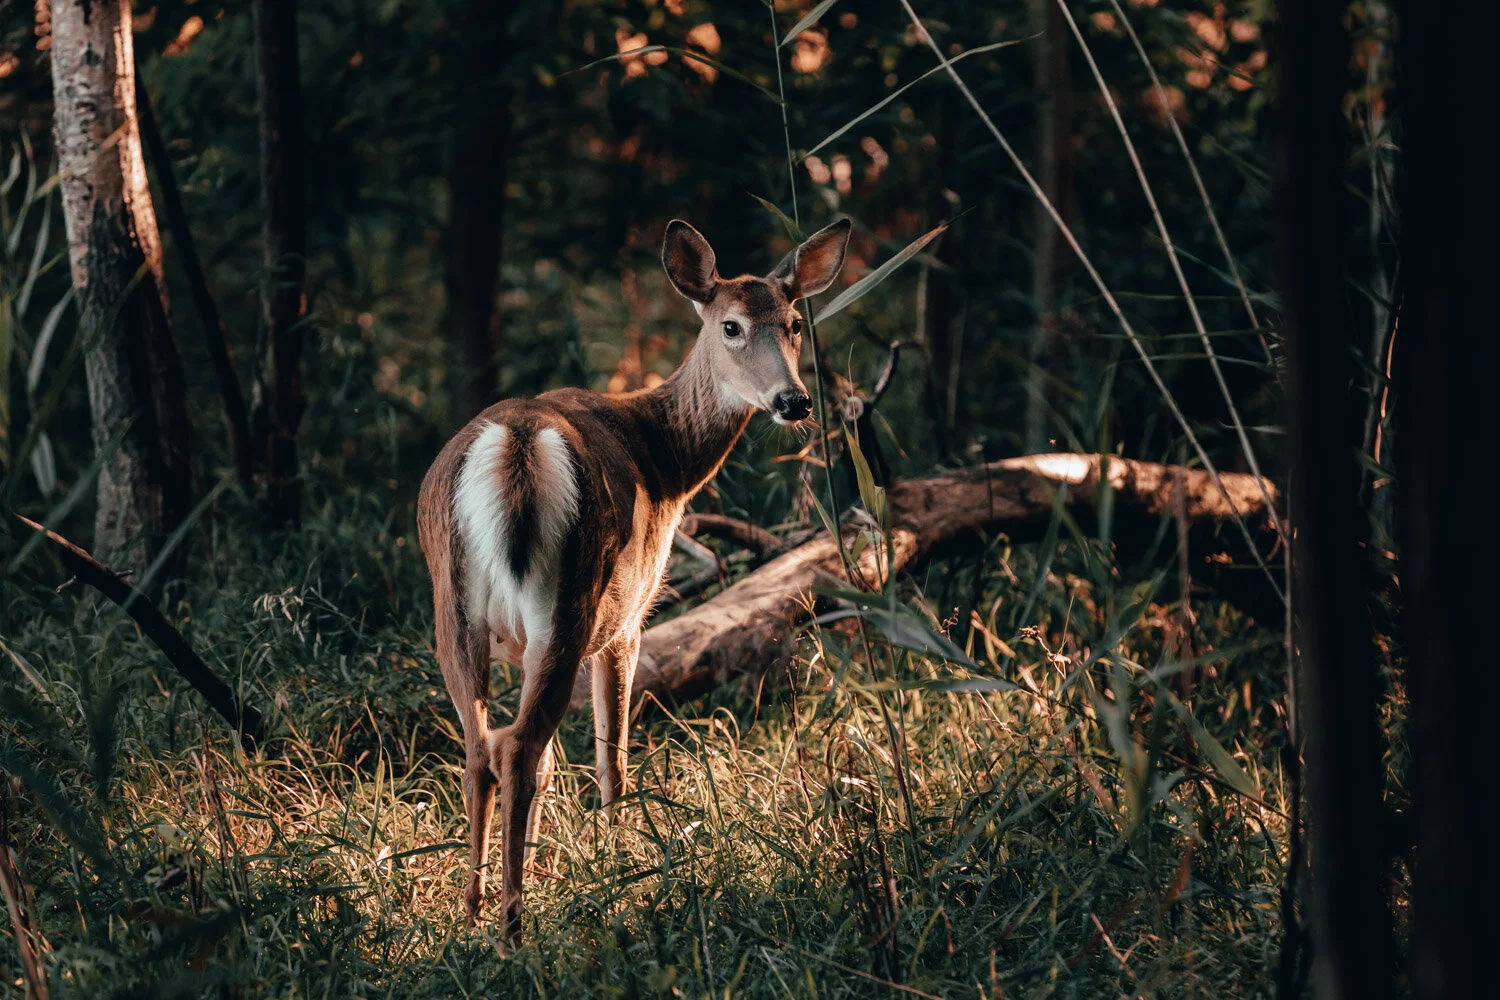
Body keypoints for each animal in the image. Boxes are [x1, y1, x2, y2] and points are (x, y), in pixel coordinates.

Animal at [416, 217, 852, 943]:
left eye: (794, 323)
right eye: (731, 326)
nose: (793, 400)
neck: (666, 458)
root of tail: (514, 446)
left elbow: (554, 761)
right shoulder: (628, 620)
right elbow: (612, 757)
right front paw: (619, 865)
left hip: (454, 607)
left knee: (484, 750)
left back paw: (474, 912)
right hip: (573, 599)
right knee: (520, 747)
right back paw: (512, 928)